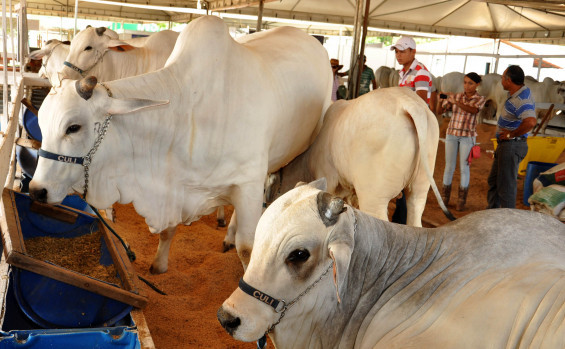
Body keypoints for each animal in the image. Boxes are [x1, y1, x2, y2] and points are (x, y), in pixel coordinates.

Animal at [27, 15, 330, 272]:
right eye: (43, 124)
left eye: (73, 127)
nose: (37, 190)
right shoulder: (172, 185)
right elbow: (168, 230)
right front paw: (159, 264)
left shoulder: (248, 183)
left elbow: (248, 249)